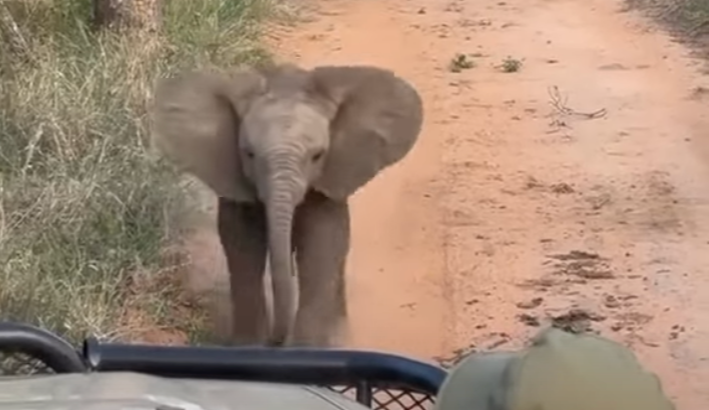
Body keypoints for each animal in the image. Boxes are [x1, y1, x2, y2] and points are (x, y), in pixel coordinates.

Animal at [150, 63, 424, 347]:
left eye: (318, 156)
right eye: (249, 154)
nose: (277, 341)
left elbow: (320, 247)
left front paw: (306, 348)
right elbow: (243, 247)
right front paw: (248, 346)